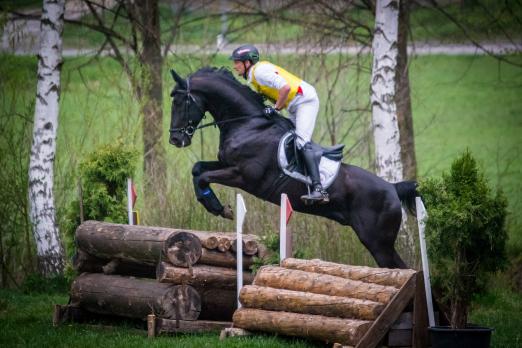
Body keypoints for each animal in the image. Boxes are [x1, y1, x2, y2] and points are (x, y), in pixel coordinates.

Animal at [169, 68, 416, 270]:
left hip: (378, 242)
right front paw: (215, 205)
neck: (248, 124)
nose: (175, 139)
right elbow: (198, 169)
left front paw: (218, 208)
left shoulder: (242, 175)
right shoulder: (226, 164)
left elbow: (204, 177)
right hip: (379, 242)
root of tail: (393, 187)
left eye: (180, 102)